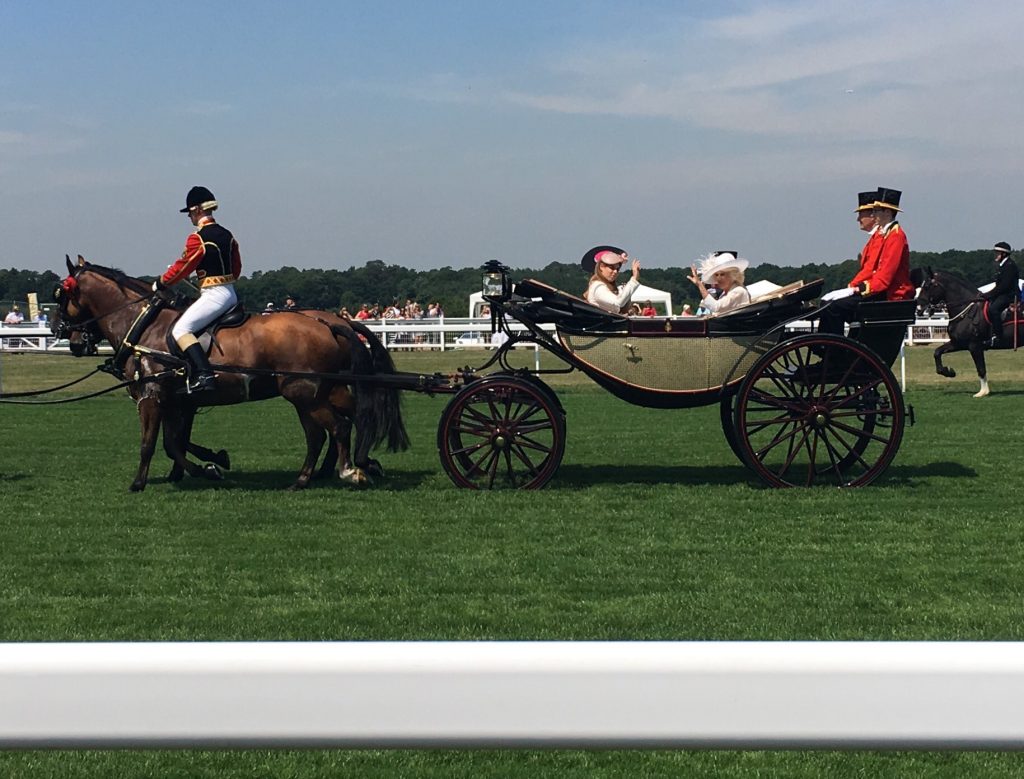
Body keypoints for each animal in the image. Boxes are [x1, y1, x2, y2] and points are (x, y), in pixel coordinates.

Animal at [49, 254, 405, 489]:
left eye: (61, 295)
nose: (66, 336)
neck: (145, 326)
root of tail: (331, 323)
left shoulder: (151, 398)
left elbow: (154, 443)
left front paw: (142, 482)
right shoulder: (177, 402)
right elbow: (174, 443)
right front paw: (209, 464)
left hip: (304, 393)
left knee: (338, 427)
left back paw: (348, 470)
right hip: (315, 394)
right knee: (335, 426)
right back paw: (324, 472)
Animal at [909, 268, 1019, 401]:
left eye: (927, 286)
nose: (918, 309)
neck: (966, 312)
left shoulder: (974, 346)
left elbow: (981, 368)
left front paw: (983, 392)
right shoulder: (958, 343)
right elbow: (937, 352)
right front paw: (949, 371)